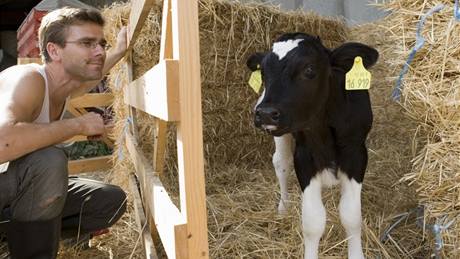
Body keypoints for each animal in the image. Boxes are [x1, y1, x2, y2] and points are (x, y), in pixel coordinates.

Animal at [246, 34, 380, 259]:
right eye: (263, 72)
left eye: (309, 70)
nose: (265, 113)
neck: (324, 128)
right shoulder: (304, 158)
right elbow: (313, 222)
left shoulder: (356, 154)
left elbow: (351, 216)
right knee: (281, 163)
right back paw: (283, 207)